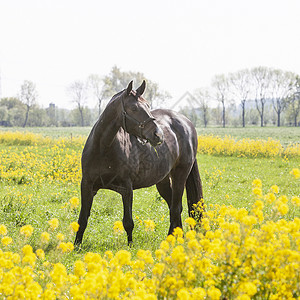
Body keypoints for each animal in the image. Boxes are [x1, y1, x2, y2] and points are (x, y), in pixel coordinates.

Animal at [74, 80, 203, 246]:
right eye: (134, 108)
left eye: (148, 105)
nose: (158, 135)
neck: (103, 148)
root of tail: (186, 123)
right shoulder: (87, 186)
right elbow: (82, 219)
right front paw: (76, 246)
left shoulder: (126, 189)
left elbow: (128, 222)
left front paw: (130, 246)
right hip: (162, 181)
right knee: (174, 207)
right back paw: (174, 238)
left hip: (180, 176)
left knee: (175, 208)